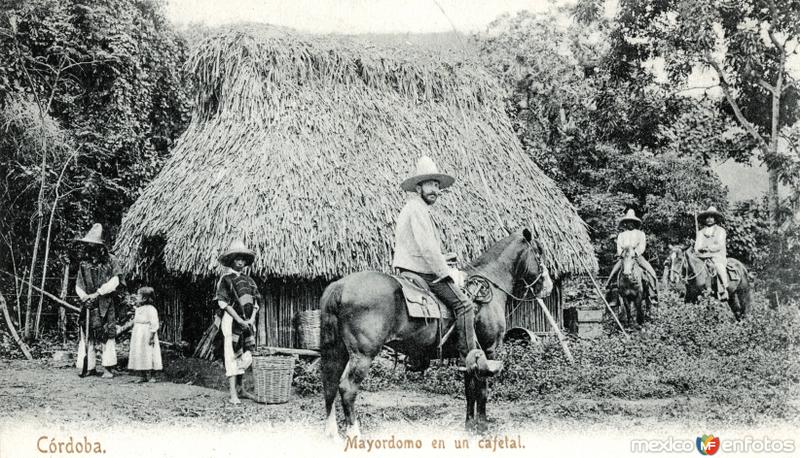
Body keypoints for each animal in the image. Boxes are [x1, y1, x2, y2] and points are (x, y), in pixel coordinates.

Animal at [318, 229, 552, 436]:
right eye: (539, 252)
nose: (548, 286)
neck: (489, 286)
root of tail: (340, 285)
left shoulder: (467, 356)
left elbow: (469, 391)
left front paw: (470, 427)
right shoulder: (489, 349)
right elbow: (482, 391)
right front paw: (483, 428)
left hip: (337, 350)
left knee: (329, 384)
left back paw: (331, 433)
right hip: (363, 354)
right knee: (347, 388)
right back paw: (354, 434)